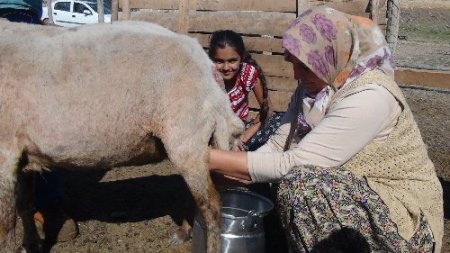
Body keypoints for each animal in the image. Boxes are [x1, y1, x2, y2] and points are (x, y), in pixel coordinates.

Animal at [0, 20, 243, 253]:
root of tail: (206, 64)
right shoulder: (22, 154)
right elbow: (24, 204)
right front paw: (31, 244)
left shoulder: (6, 151)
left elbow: (6, 223)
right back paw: (184, 231)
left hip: (187, 133)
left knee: (212, 205)